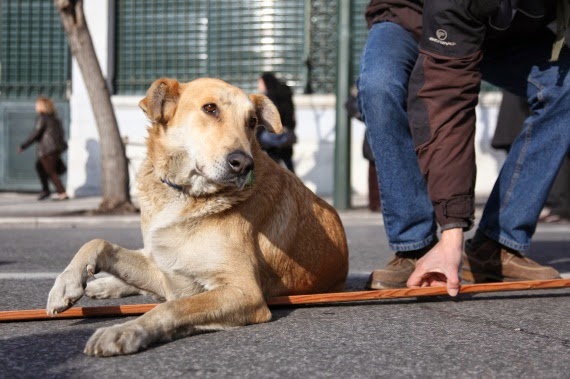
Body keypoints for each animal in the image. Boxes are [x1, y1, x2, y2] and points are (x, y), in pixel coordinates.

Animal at [45, 78, 346, 358]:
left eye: (252, 121)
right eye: (210, 108)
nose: (244, 165)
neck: (187, 196)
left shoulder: (241, 291)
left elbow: (171, 307)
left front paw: (125, 330)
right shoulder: (170, 272)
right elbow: (98, 242)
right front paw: (66, 284)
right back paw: (101, 285)